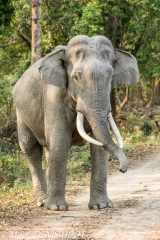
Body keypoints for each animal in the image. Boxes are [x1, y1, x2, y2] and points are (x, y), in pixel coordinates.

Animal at [13, 34, 139, 211]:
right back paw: (43, 202)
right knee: (30, 148)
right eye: (76, 77)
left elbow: (99, 146)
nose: (122, 170)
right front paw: (57, 208)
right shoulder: (54, 97)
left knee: (48, 150)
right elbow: (60, 143)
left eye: (110, 76)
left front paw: (102, 206)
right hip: (21, 113)